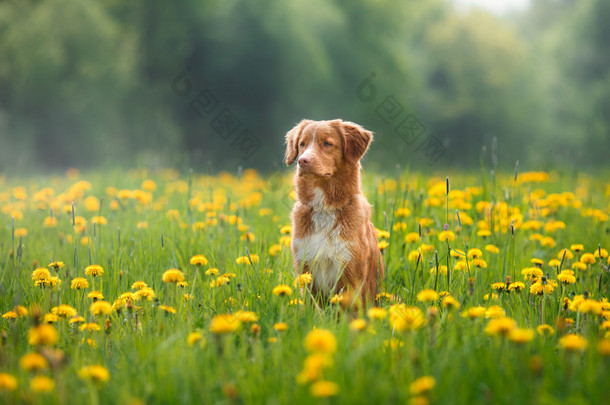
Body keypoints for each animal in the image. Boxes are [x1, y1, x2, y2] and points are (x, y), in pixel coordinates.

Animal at [284, 118, 380, 308]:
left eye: (327, 143)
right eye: (302, 144)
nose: (302, 161)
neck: (324, 209)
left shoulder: (350, 274)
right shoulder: (306, 270)